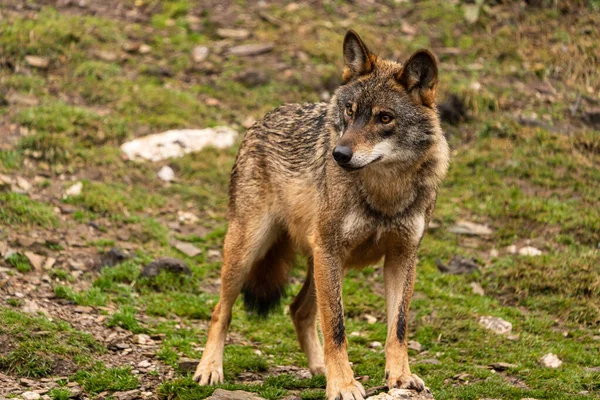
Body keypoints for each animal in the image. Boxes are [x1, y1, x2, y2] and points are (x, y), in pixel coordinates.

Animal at [193, 29, 450, 398]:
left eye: (384, 118)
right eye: (350, 111)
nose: (339, 154)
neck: (385, 191)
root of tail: (261, 120)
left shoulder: (402, 256)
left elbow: (398, 328)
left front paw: (400, 377)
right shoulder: (331, 250)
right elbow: (337, 328)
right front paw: (343, 385)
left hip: (319, 264)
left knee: (299, 310)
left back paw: (318, 369)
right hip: (251, 250)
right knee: (220, 311)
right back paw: (209, 369)